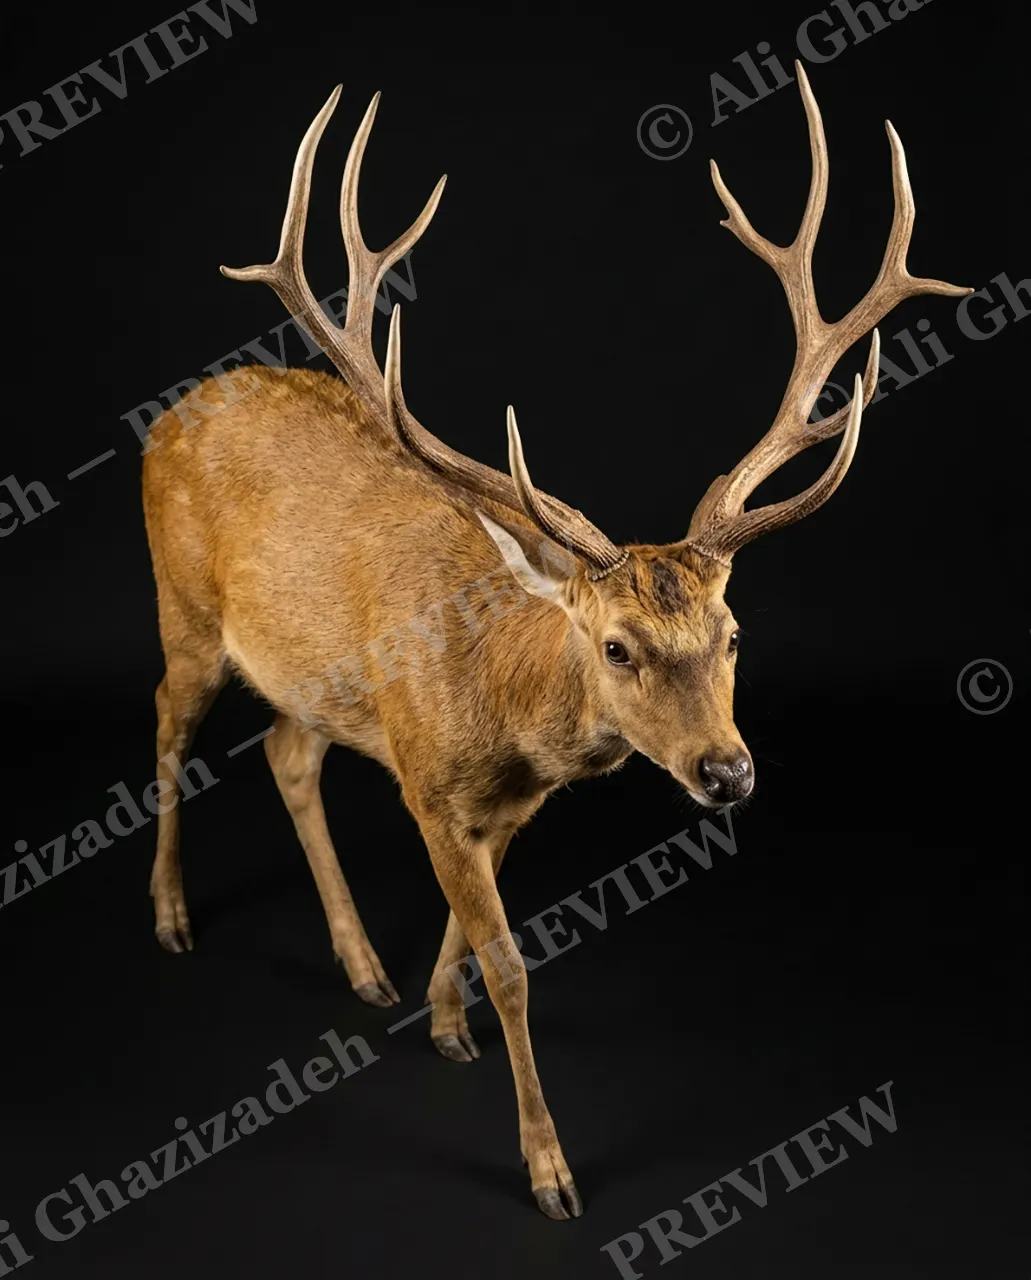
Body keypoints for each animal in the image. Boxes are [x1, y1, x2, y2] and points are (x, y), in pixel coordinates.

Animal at [141, 61, 970, 1219]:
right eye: (617, 647)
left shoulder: (502, 803)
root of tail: (178, 408)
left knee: (284, 749)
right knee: (168, 731)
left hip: (306, 677)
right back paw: (171, 916)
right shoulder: (427, 781)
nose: (727, 771)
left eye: (730, 633)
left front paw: (443, 1023)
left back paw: (363, 965)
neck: (503, 710)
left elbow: (471, 933)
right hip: (183, 612)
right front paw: (550, 1170)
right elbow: (513, 966)